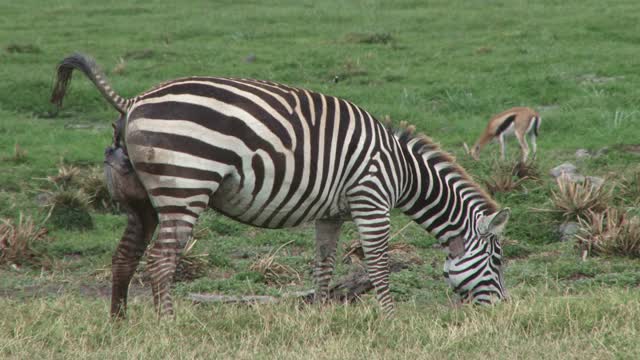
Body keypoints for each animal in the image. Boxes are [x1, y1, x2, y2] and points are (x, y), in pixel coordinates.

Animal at [48, 53, 510, 318]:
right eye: (498, 260)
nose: (504, 311)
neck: (403, 170)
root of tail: (134, 102)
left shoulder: (331, 213)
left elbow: (324, 265)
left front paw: (321, 318)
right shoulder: (371, 200)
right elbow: (379, 264)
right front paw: (391, 320)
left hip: (138, 197)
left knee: (124, 256)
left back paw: (120, 324)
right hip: (186, 186)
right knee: (161, 262)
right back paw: (168, 327)